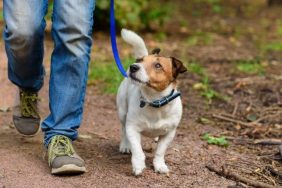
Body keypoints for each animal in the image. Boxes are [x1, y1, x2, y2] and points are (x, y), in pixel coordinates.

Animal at [115, 28, 186, 176]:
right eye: (140, 61)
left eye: (158, 65)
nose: (133, 66)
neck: (154, 101)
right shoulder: (132, 128)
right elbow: (137, 150)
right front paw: (138, 165)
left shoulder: (169, 133)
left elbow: (160, 152)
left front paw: (159, 165)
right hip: (122, 112)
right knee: (123, 129)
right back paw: (125, 145)